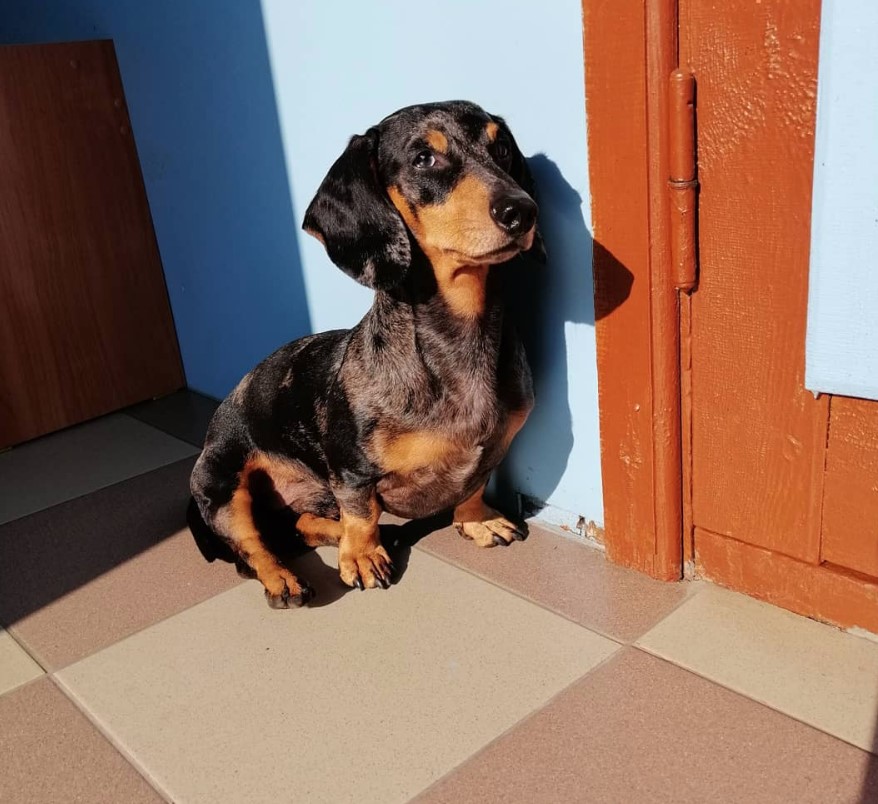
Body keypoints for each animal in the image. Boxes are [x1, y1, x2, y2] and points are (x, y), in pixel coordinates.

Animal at [187, 100, 544, 608]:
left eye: (502, 148)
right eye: (423, 159)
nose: (522, 210)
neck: (458, 340)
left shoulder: (494, 449)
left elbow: (474, 484)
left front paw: (476, 520)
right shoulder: (350, 470)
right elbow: (362, 511)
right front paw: (361, 556)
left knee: (301, 523)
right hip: (221, 483)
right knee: (253, 548)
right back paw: (286, 577)